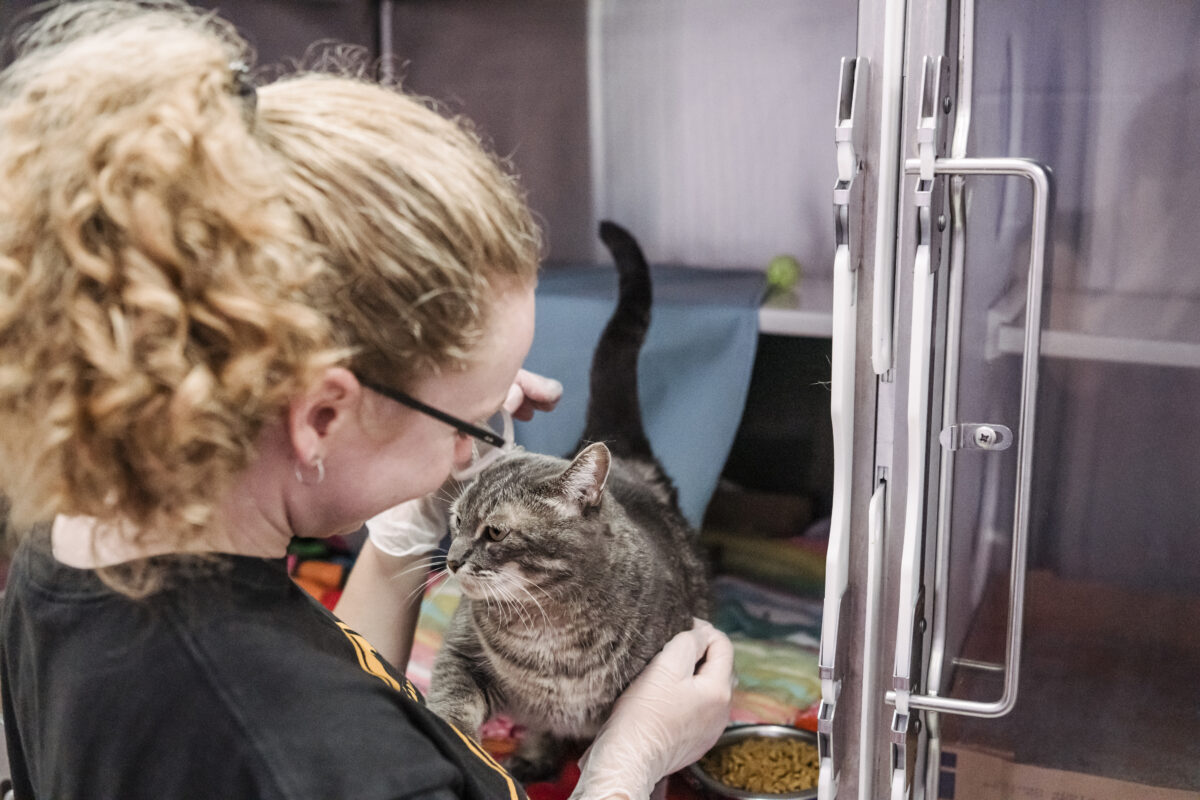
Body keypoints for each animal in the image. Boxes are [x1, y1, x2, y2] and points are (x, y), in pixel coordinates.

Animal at [432, 219, 710, 782]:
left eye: (494, 531)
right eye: (455, 521)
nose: (450, 561)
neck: (549, 635)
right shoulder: (462, 651)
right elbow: (453, 701)